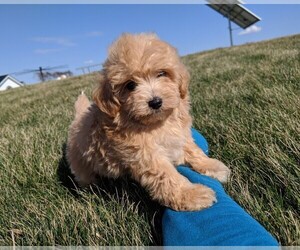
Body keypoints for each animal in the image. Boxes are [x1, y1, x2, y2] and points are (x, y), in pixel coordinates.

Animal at [66, 32, 230, 210]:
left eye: (162, 73)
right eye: (130, 85)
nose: (155, 102)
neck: (157, 123)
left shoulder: (180, 133)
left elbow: (192, 149)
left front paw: (210, 166)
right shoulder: (144, 153)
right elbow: (166, 175)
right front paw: (190, 195)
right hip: (81, 164)